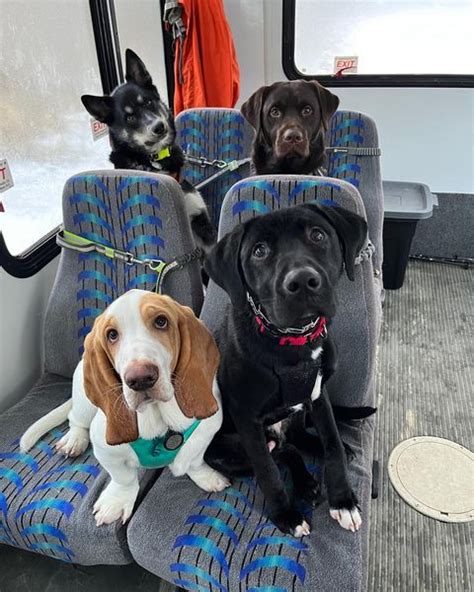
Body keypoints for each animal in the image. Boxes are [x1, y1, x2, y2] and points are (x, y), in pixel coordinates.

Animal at [204, 204, 374, 536]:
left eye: (318, 235)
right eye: (259, 251)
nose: (303, 282)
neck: (292, 341)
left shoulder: (318, 395)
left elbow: (333, 445)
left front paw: (343, 500)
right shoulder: (247, 419)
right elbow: (267, 471)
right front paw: (285, 515)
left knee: (294, 440)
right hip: (226, 450)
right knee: (279, 452)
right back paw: (304, 483)